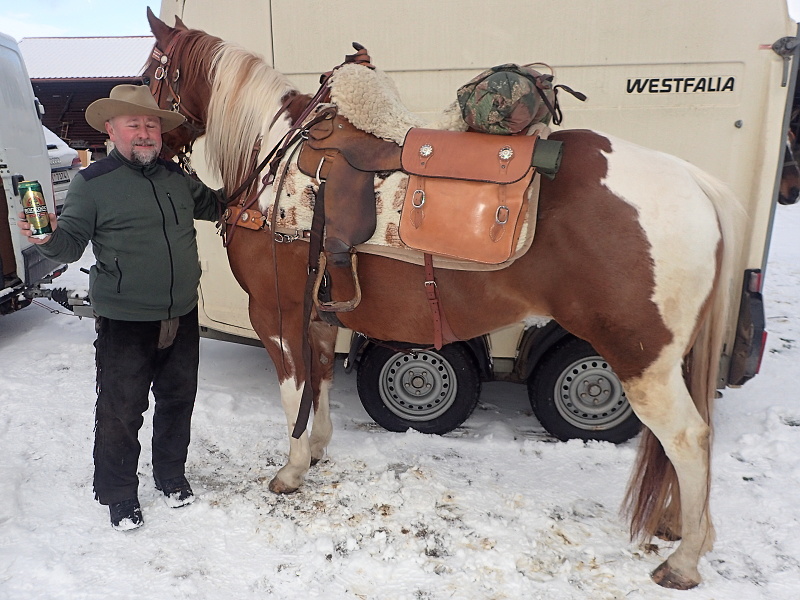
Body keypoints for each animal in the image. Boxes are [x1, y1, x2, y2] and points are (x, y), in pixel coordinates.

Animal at [145, 9, 744, 588]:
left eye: (151, 72)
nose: (148, 142)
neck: (275, 165)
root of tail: (693, 181)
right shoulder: (318, 311)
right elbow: (321, 378)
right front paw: (315, 448)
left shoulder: (275, 311)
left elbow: (295, 388)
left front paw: (291, 471)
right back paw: (680, 527)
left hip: (641, 360)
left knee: (689, 437)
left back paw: (684, 561)